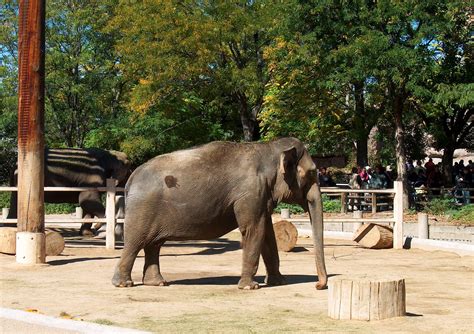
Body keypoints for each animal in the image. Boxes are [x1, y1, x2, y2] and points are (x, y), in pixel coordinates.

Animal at [112, 138, 328, 290]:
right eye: (311, 173)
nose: (318, 285)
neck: (268, 148)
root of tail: (130, 180)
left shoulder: (261, 196)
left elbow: (267, 233)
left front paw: (279, 282)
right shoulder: (250, 193)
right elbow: (253, 230)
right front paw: (250, 287)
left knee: (153, 245)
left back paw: (157, 283)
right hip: (142, 209)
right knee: (135, 242)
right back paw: (123, 284)